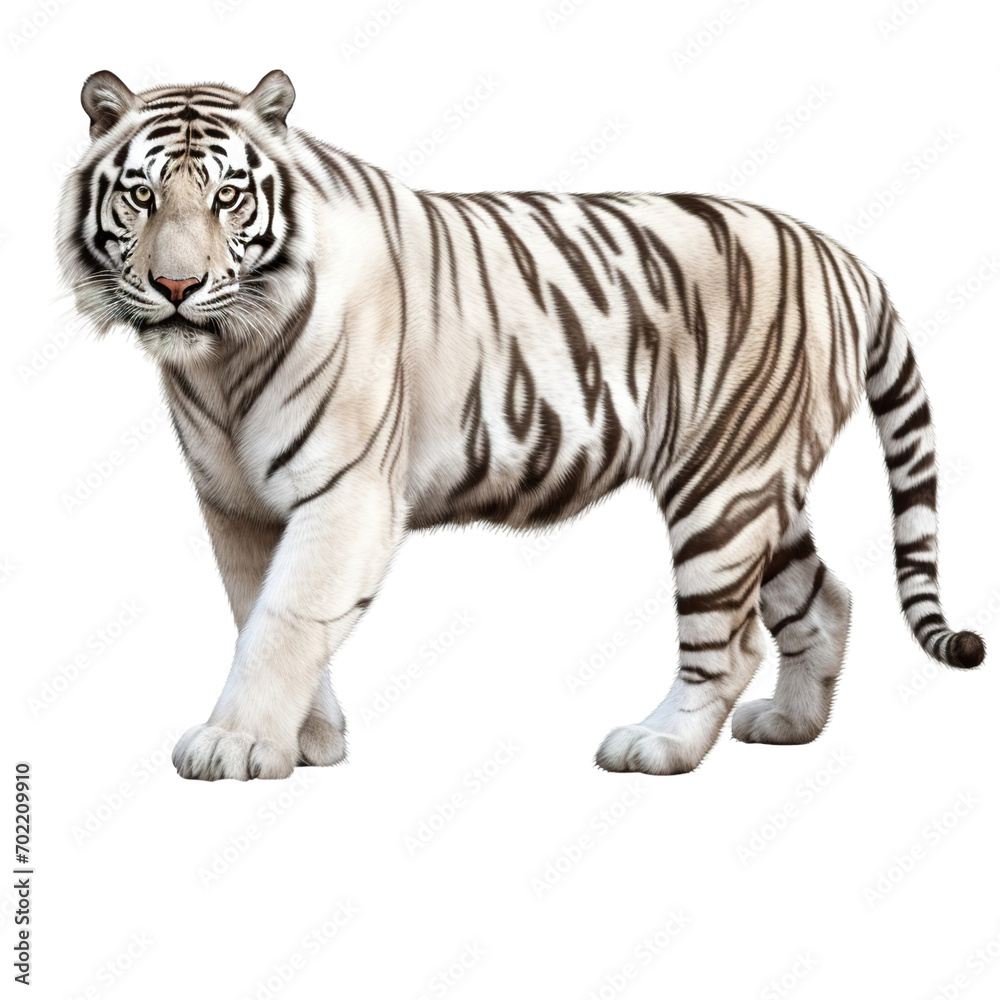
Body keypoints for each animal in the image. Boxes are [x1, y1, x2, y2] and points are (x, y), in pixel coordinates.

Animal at [57, 69, 985, 782]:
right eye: (141, 195)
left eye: (228, 197)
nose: (178, 287)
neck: (221, 364)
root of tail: (843, 257)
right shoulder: (237, 506)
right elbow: (258, 611)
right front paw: (309, 741)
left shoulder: (347, 494)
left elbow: (285, 621)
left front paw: (237, 744)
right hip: (763, 482)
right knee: (825, 598)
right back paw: (790, 728)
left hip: (721, 489)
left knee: (731, 640)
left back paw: (659, 745)